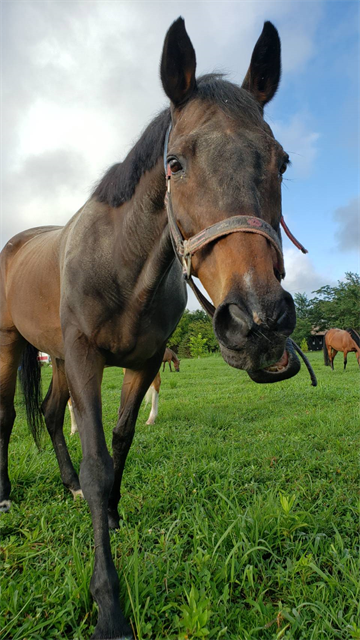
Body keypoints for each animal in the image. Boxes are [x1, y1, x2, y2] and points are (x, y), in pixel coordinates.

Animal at [0, 20, 310, 640]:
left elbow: (121, 441)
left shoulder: (142, 362)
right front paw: (109, 607)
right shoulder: (87, 357)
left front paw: (112, 512)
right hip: (10, 347)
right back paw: (4, 496)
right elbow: (98, 462)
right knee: (4, 418)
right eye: (176, 164)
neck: (123, 264)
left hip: (57, 361)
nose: (259, 322)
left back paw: (65, 485)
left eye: (283, 161)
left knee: (49, 415)